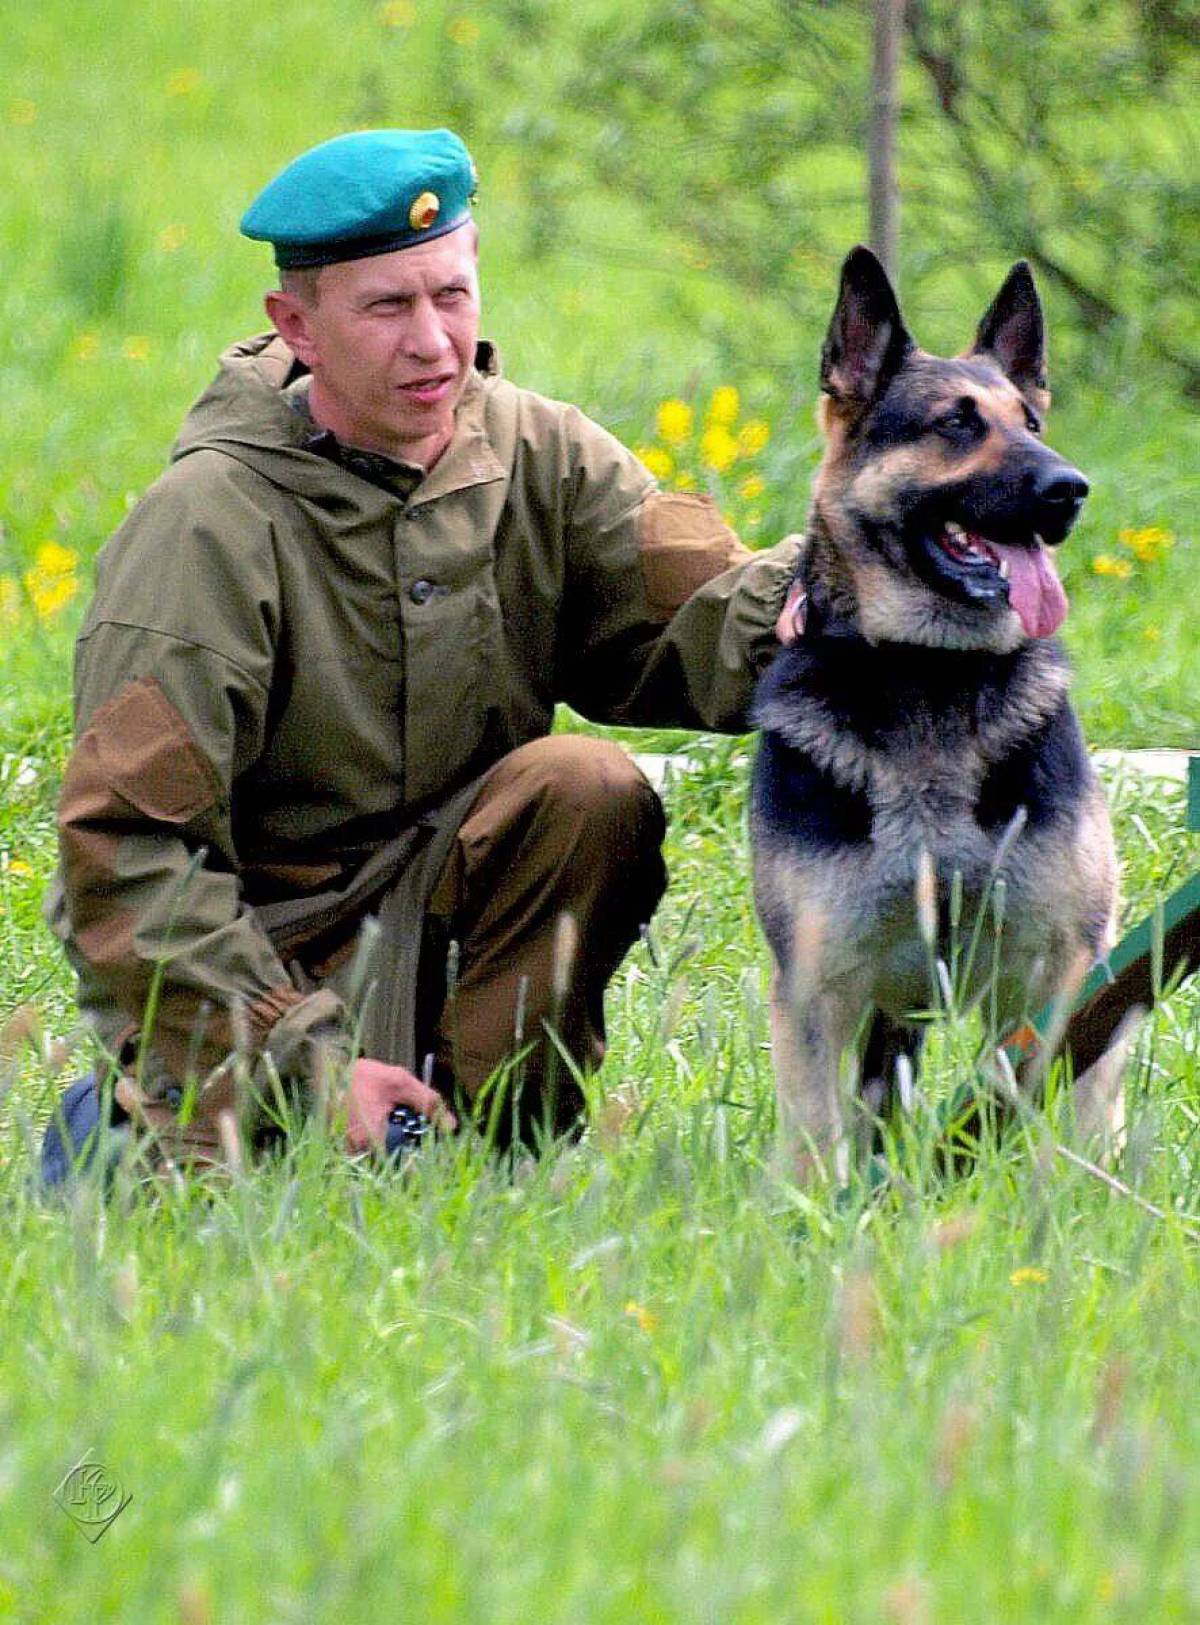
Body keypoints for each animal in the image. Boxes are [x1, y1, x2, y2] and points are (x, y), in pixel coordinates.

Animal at [751, 243, 1118, 1183]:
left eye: (1032, 418)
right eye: (956, 424)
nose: (1072, 488)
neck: (928, 675)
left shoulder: (1057, 972)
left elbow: (1070, 1127)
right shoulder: (819, 992)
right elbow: (818, 1144)